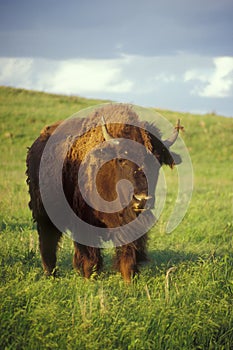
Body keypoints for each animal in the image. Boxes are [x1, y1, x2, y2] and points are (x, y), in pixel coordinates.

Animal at [26, 104, 181, 282]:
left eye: (157, 161)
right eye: (121, 159)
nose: (141, 199)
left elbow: (128, 254)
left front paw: (129, 280)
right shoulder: (85, 222)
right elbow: (90, 256)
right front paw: (90, 279)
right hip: (44, 213)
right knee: (48, 242)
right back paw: (51, 275)